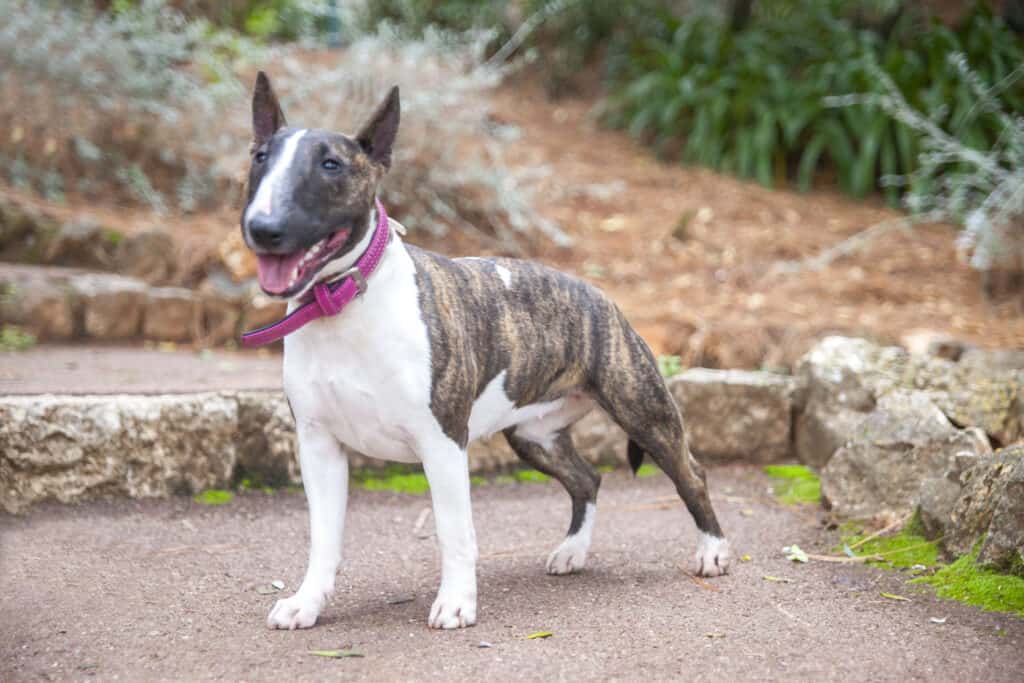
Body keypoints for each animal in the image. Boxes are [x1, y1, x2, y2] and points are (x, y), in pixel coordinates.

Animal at [239, 70, 729, 630]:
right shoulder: (318, 445)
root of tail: (600, 295)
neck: (343, 307)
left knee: (691, 473)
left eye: (330, 165)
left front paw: (456, 602)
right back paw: (572, 552)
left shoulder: (442, 443)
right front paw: (306, 602)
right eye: (260, 157)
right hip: (535, 435)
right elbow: (323, 538)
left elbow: (454, 532)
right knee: (586, 479)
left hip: (643, 411)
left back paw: (712, 550)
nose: (263, 228)